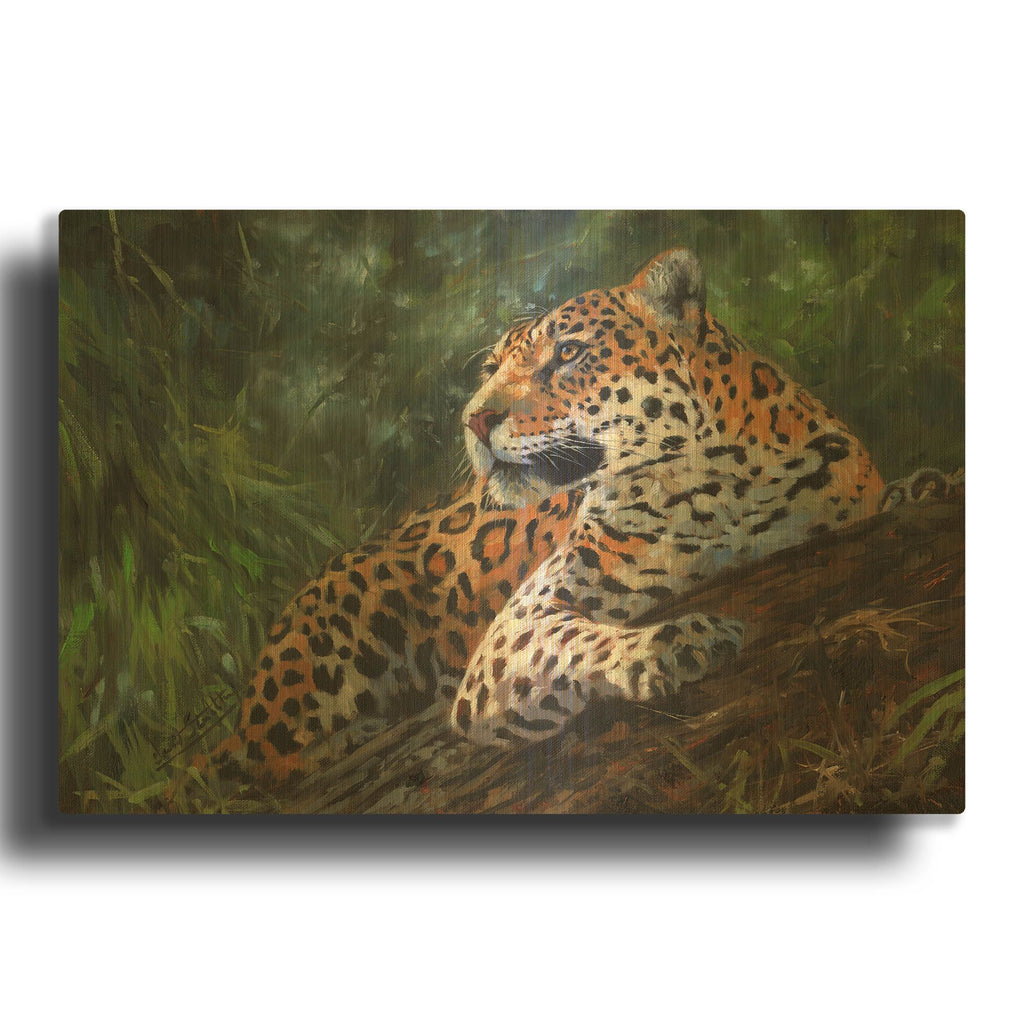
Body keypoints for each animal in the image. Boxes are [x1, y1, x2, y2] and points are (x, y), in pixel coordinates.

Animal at [197, 247, 885, 786]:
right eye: (490, 368)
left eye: (569, 354)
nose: (474, 418)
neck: (712, 489)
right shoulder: (514, 630)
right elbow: (575, 640)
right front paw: (674, 643)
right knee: (261, 759)